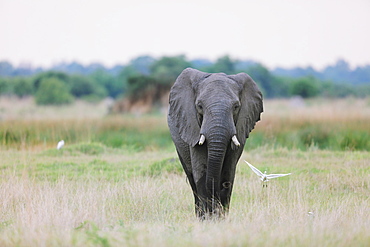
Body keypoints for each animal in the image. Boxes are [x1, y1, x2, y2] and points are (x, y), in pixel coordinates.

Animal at [168, 67, 264, 218]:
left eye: (236, 106)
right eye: (199, 106)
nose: (222, 186)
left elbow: (228, 172)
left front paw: (220, 218)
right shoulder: (193, 126)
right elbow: (201, 172)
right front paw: (208, 219)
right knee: (191, 179)